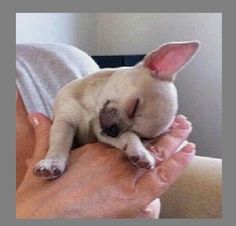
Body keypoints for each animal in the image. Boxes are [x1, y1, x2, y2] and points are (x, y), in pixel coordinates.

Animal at [33, 40, 199, 178]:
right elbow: (60, 143)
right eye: (134, 106)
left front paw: (139, 152)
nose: (112, 131)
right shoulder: (65, 121)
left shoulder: (102, 134)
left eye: (143, 137)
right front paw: (52, 162)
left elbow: (128, 137)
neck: (92, 107)